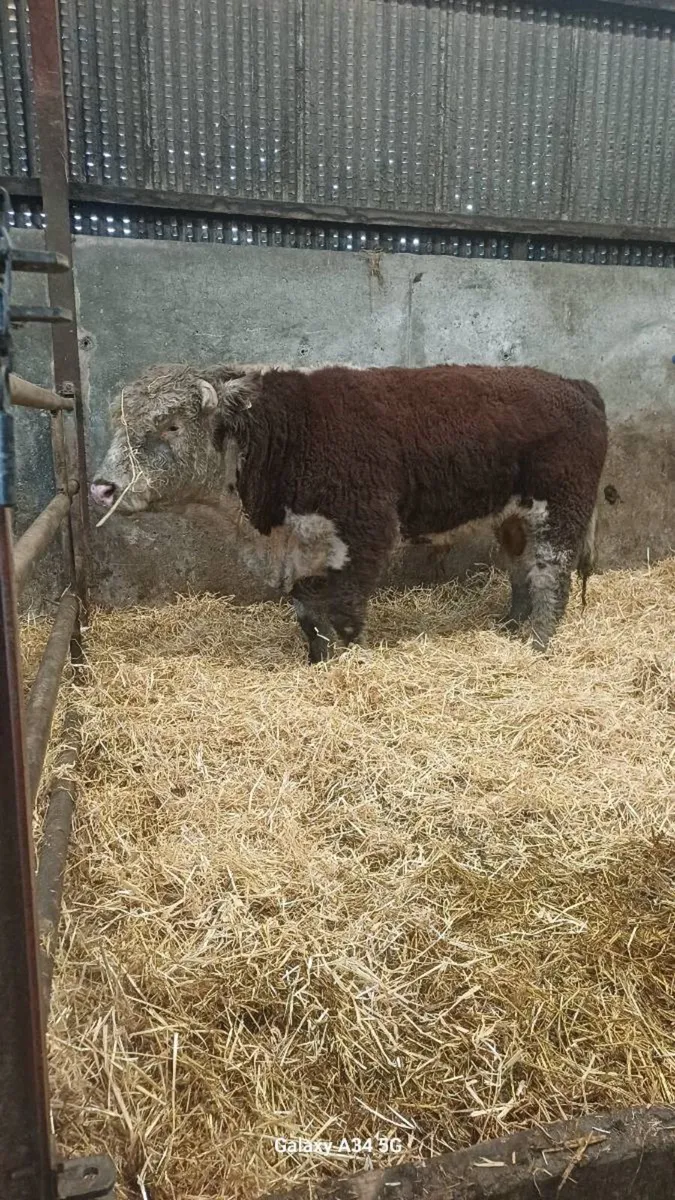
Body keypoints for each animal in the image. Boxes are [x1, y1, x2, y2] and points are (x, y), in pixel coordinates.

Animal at [91, 362, 608, 662]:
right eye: (120, 421)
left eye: (172, 426)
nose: (102, 487)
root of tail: (574, 385)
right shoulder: (302, 547)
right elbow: (308, 615)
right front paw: (319, 662)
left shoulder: (366, 533)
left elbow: (345, 613)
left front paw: (352, 662)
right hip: (514, 517)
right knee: (521, 568)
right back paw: (511, 627)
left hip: (560, 509)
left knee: (550, 576)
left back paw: (537, 645)